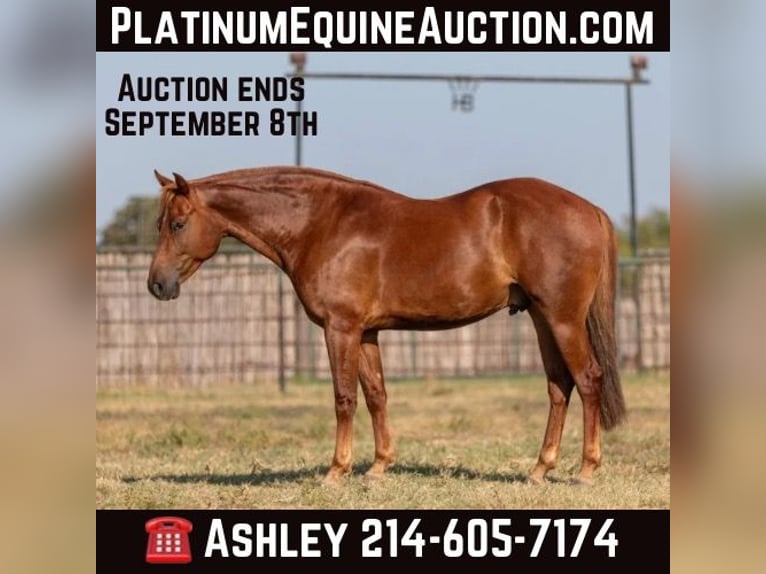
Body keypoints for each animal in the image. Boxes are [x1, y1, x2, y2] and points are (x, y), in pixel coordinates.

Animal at [147, 166, 626, 485]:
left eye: (178, 223)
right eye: (161, 223)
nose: (157, 284)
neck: (322, 223)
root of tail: (589, 209)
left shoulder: (340, 328)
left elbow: (344, 398)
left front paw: (336, 472)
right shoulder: (366, 332)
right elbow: (376, 394)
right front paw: (378, 467)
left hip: (562, 318)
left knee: (588, 380)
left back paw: (585, 470)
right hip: (542, 318)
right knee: (558, 387)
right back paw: (539, 469)